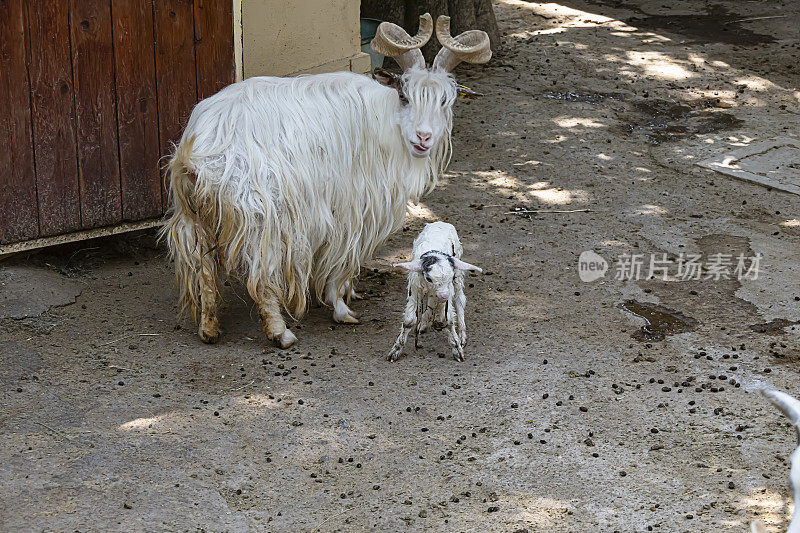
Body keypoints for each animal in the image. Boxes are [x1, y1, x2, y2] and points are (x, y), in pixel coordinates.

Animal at [160, 14, 490, 348]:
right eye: (404, 95)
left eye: (445, 101)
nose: (423, 138)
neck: (384, 120)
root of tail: (199, 150)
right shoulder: (349, 210)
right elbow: (340, 261)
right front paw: (341, 307)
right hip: (261, 220)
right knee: (261, 277)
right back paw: (280, 333)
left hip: (195, 219)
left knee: (203, 272)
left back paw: (209, 328)